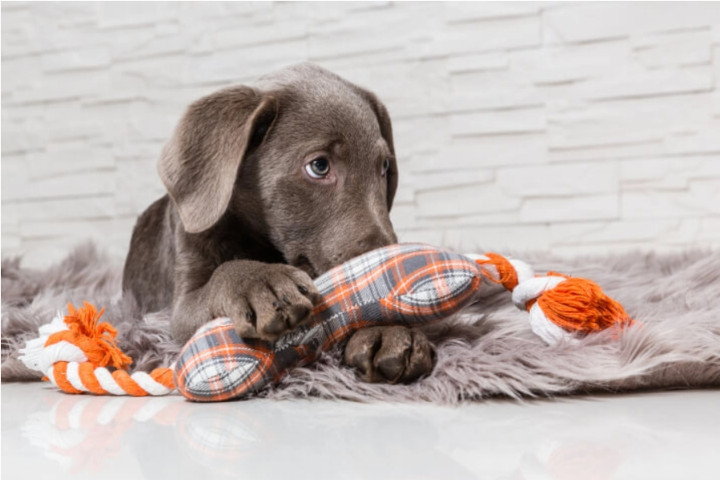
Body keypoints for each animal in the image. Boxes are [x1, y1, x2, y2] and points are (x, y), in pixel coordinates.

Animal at [122, 63, 434, 384]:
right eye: (319, 166)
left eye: (384, 167)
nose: (385, 260)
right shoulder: (180, 306)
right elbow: (224, 272)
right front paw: (260, 282)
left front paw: (389, 329)